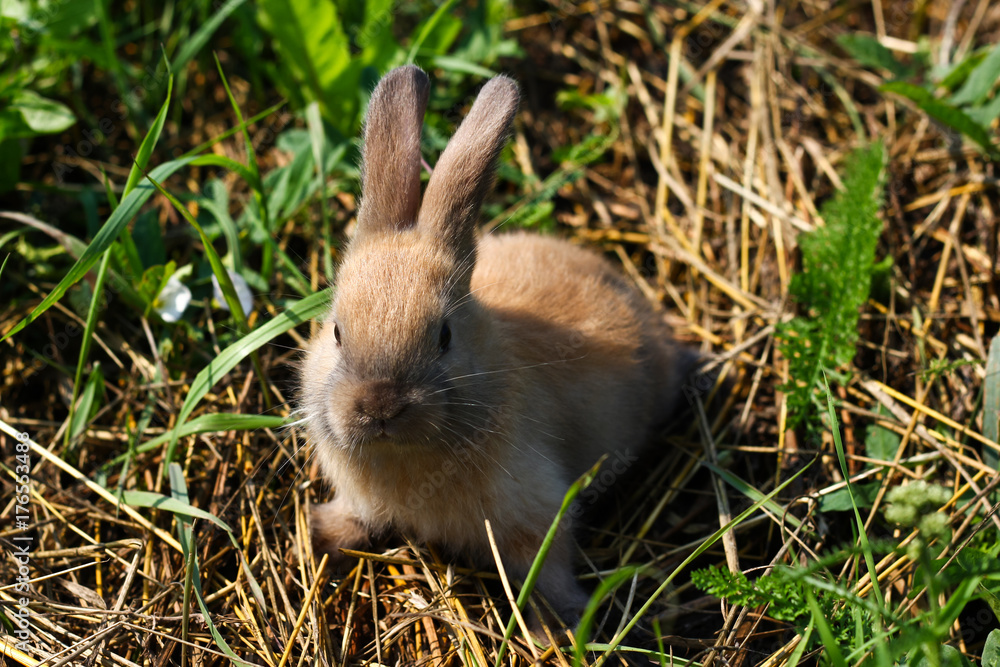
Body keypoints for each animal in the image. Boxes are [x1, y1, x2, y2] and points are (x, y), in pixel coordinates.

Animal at [300, 65, 693, 630]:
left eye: (444, 336)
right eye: (335, 331)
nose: (379, 407)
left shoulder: (537, 515)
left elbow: (547, 569)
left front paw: (561, 621)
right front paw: (319, 533)